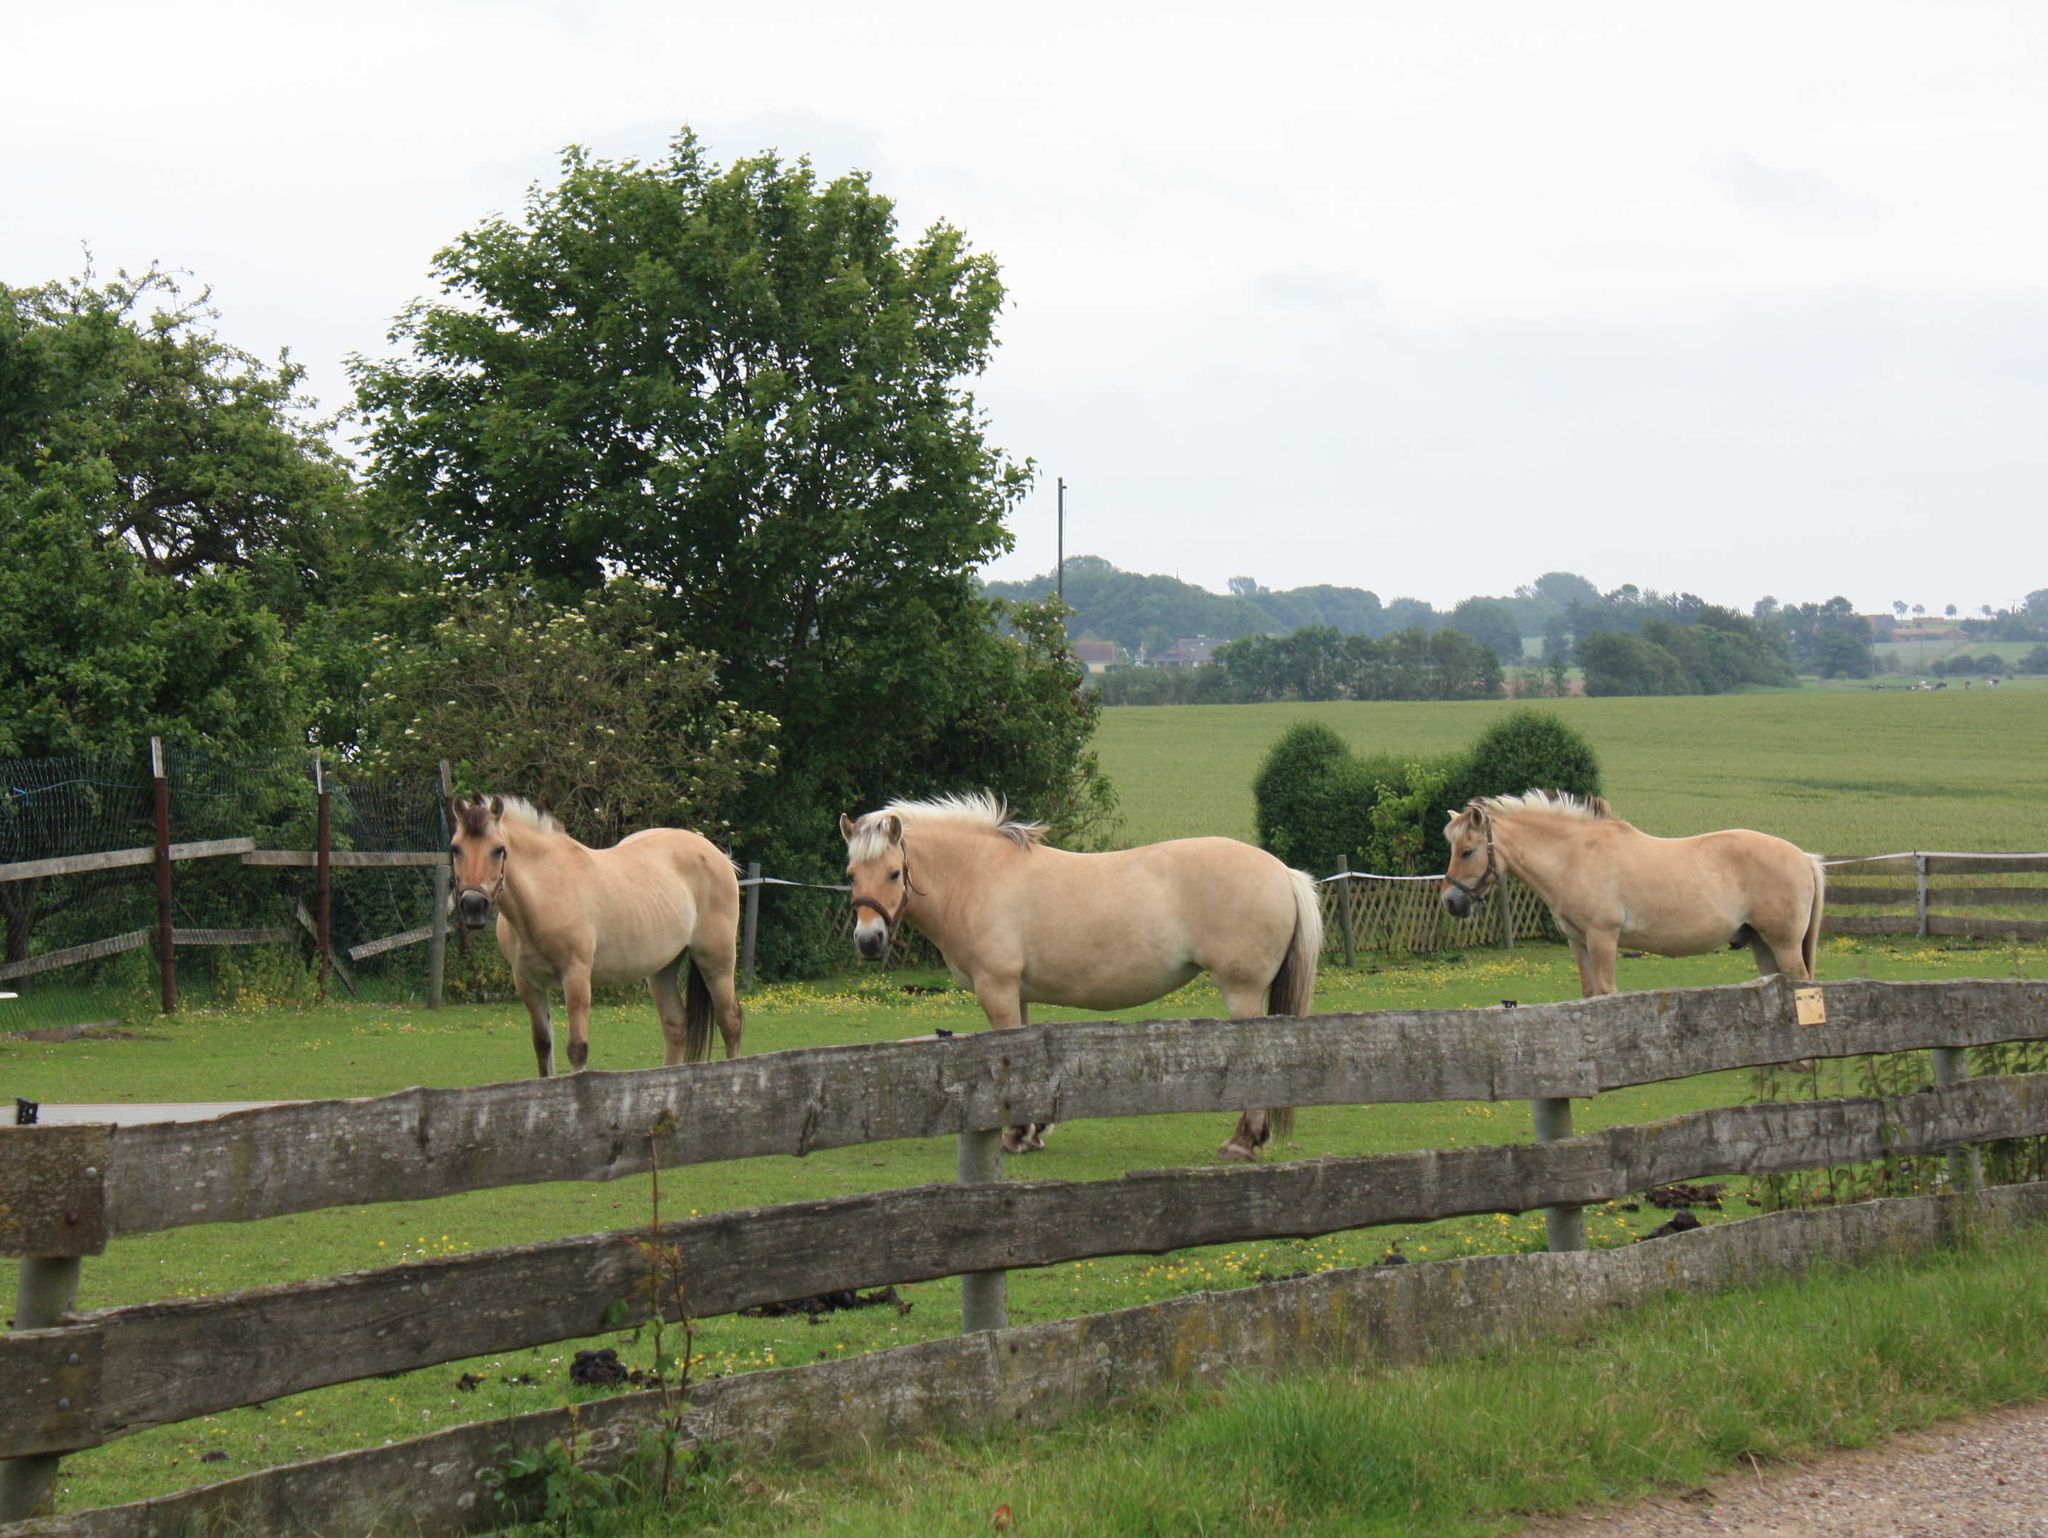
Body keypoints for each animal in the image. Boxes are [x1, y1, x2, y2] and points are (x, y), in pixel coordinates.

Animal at [444, 798, 749, 1073]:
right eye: (455, 848)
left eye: (498, 850)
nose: (473, 905)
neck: (546, 891)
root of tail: (720, 856)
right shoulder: (527, 982)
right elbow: (543, 1047)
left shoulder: (576, 976)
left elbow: (577, 1049)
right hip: (662, 968)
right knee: (676, 1025)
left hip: (716, 960)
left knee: (730, 1021)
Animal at [835, 798, 1327, 1163]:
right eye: (851, 875)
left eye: (894, 873)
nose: (869, 940)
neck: (977, 876)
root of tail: (1283, 872)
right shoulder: (1016, 993)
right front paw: (1031, 1131)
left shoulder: (996, 989)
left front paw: (1016, 1134)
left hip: (1241, 992)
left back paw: (1242, 1141)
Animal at [1441, 794, 1826, 999]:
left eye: (1467, 851)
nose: (1450, 901)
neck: (1576, 857)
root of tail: (1804, 857)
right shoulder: (1578, 943)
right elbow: (1589, 993)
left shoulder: (1603, 939)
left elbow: (1607, 992)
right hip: (1761, 943)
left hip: (1784, 944)